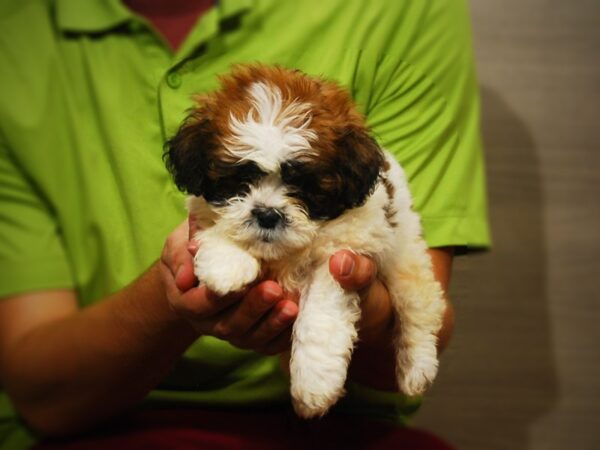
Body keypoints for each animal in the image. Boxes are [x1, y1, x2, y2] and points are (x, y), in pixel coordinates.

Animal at [164, 63, 446, 418]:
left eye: (302, 185)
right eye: (240, 181)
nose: (267, 214)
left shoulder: (340, 255)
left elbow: (320, 318)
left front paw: (314, 384)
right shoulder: (205, 212)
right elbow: (216, 225)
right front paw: (228, 264)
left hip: (404, 247)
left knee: (418, 304)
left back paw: (416, 367)